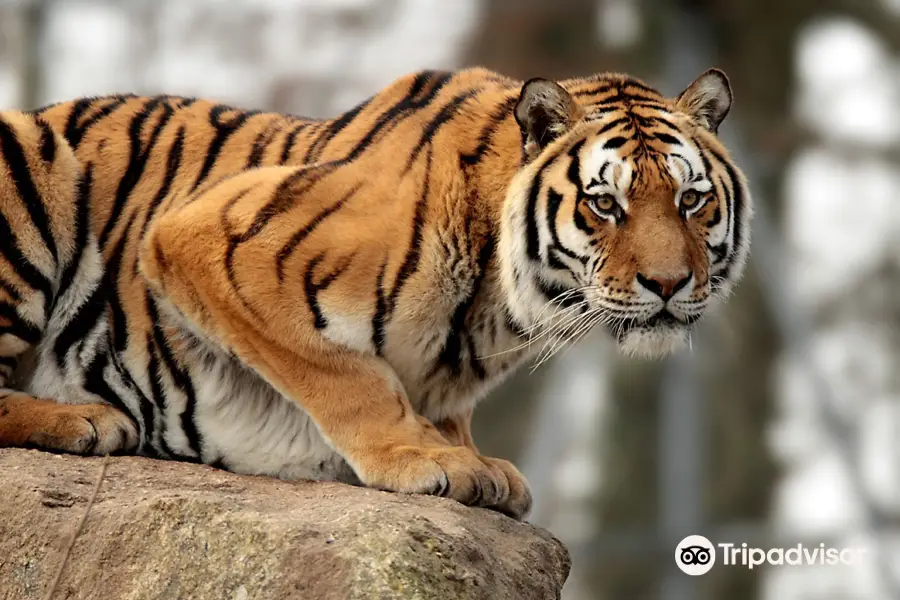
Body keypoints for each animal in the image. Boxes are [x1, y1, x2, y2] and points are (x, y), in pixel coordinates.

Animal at [0, 67, 748, 520]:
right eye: (604, 204)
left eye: (691, 199)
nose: (669, 284)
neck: (496, 307)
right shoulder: (204, 238)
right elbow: (347, 375)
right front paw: (425, 457)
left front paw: (472, 457)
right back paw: (84, 419)